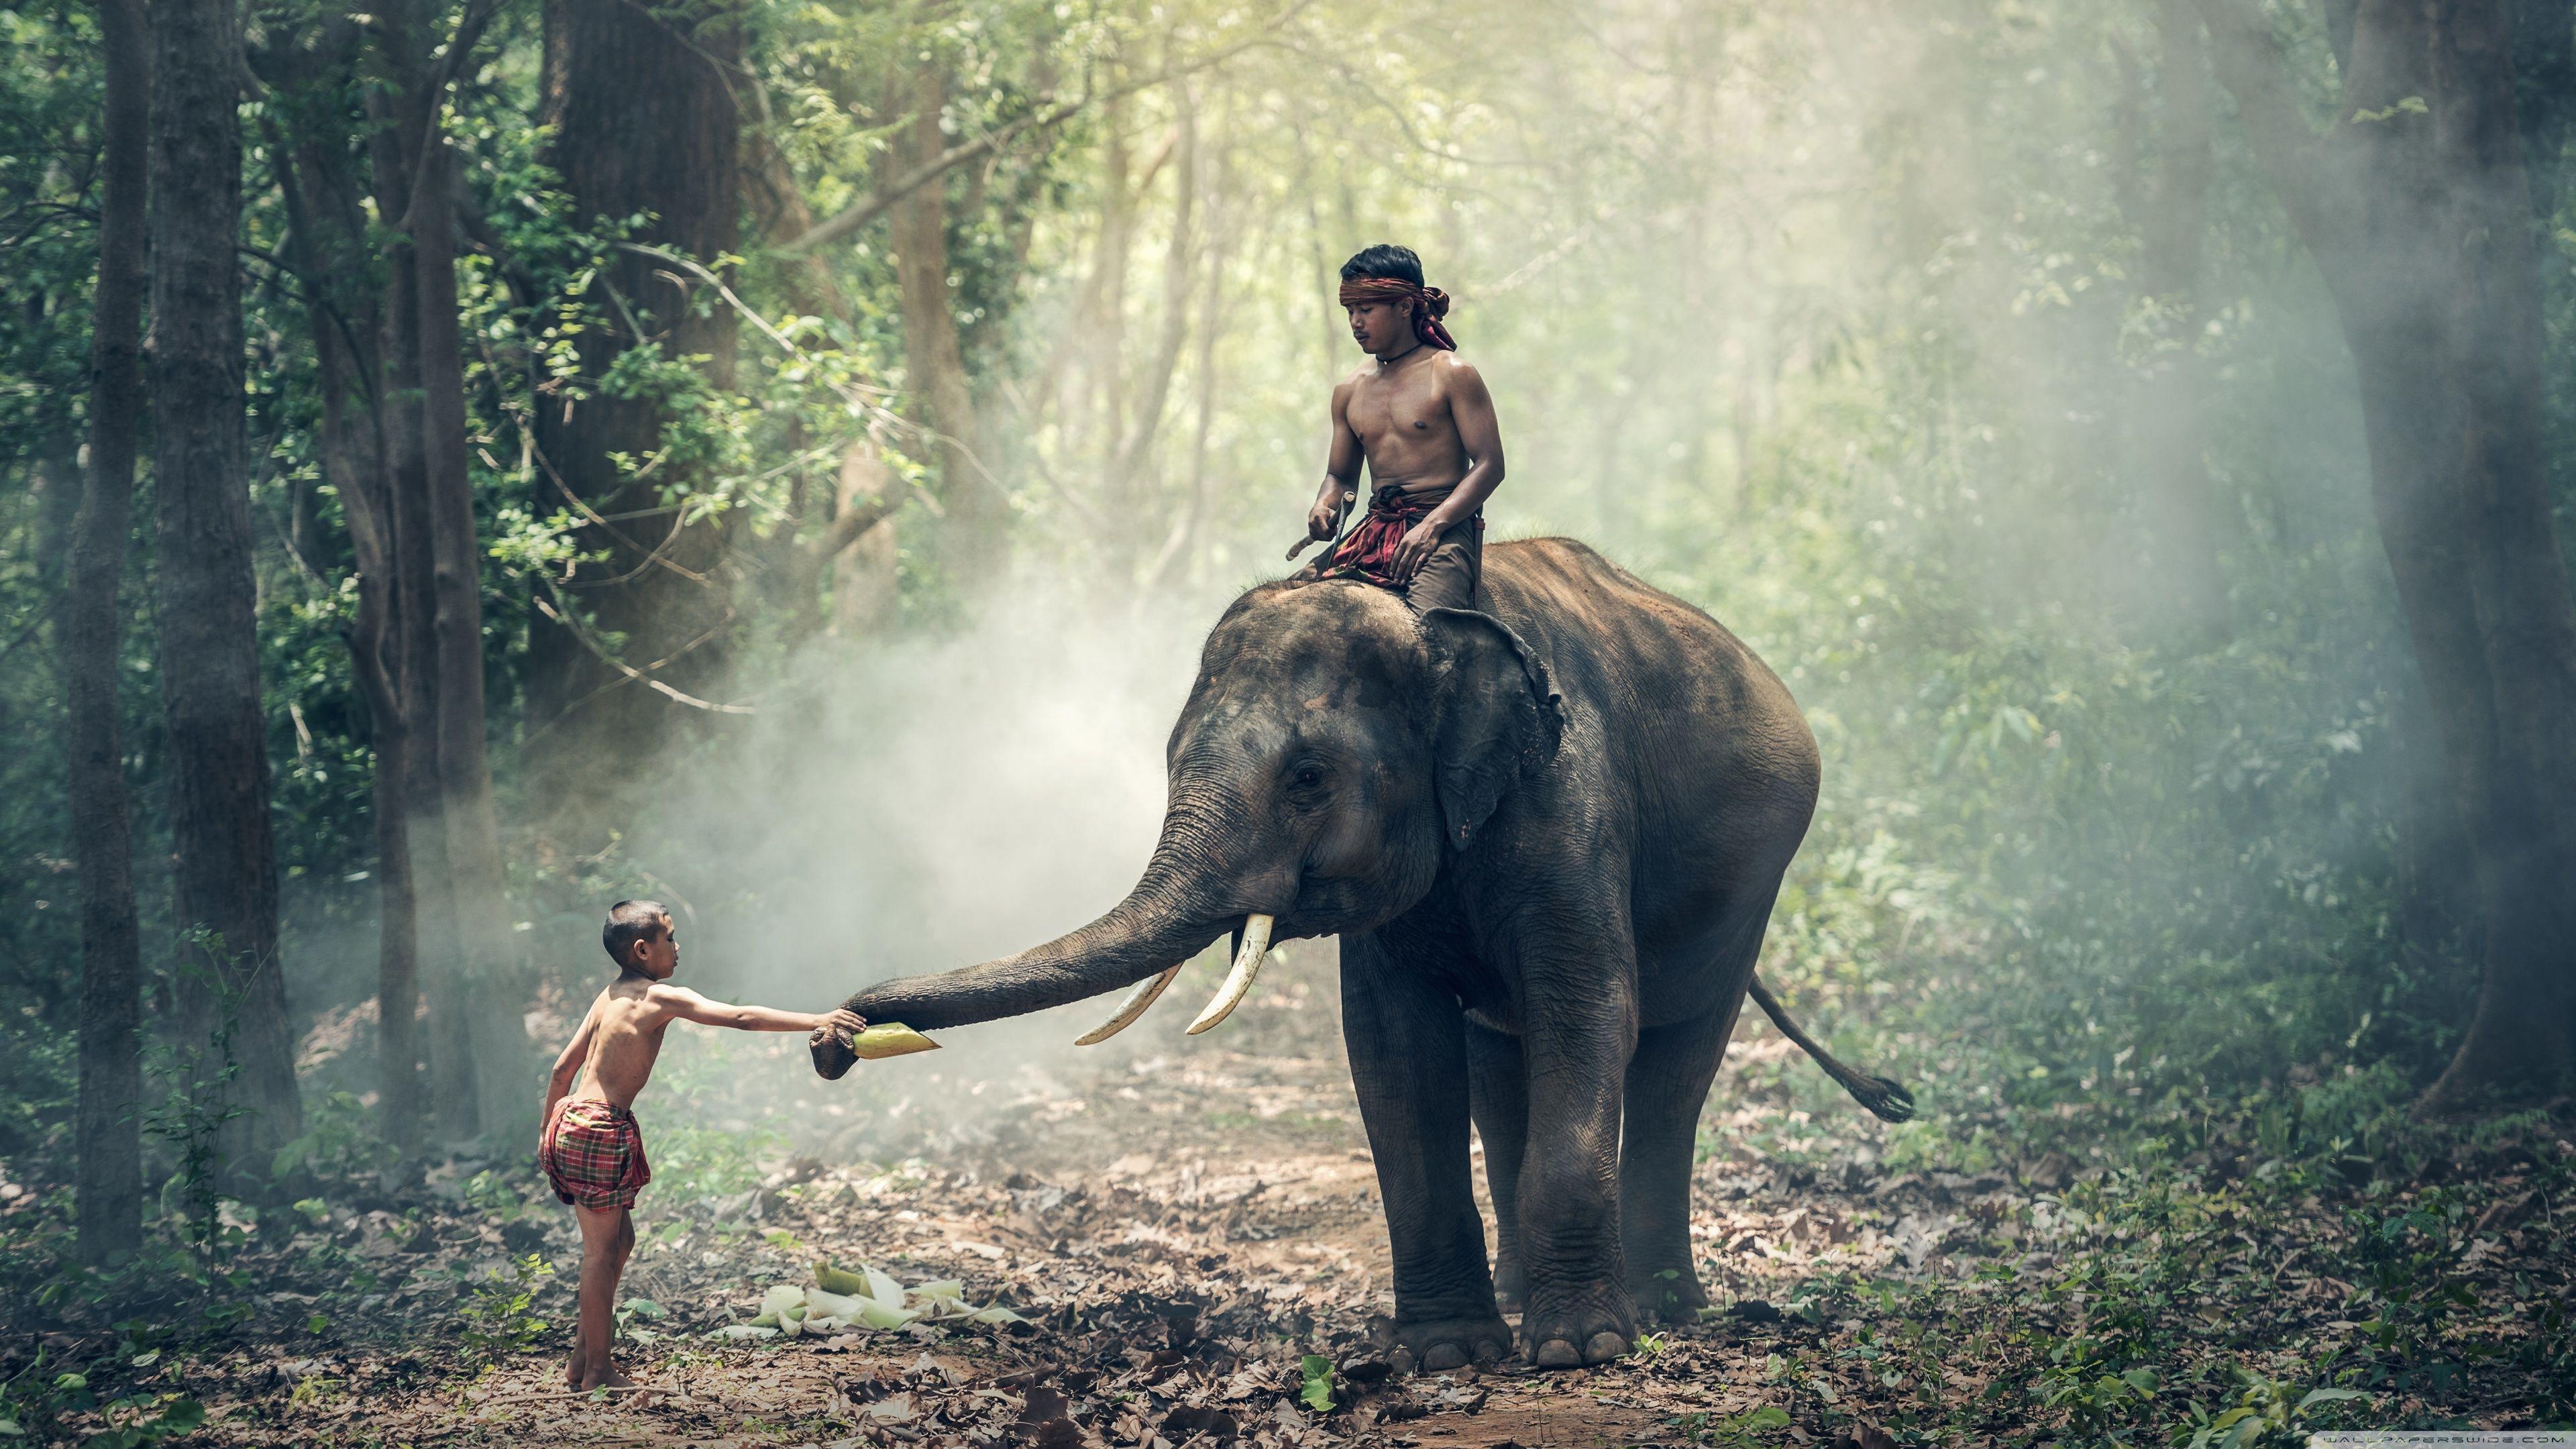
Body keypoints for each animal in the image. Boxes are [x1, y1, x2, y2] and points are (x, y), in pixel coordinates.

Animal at [812, 537, 1911, 1370]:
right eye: (1168, 761)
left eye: (1307, 777)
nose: (836, 1038)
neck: (1433, 628)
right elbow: (1394, 1048)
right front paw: (1452, 1354)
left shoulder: (1571, 803)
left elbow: (1590, 1008)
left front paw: (1579, 1354)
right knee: (1499, 1066)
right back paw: (1528, 1296)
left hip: (1753, 886)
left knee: (1676, 1062)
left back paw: (1663, 1310)